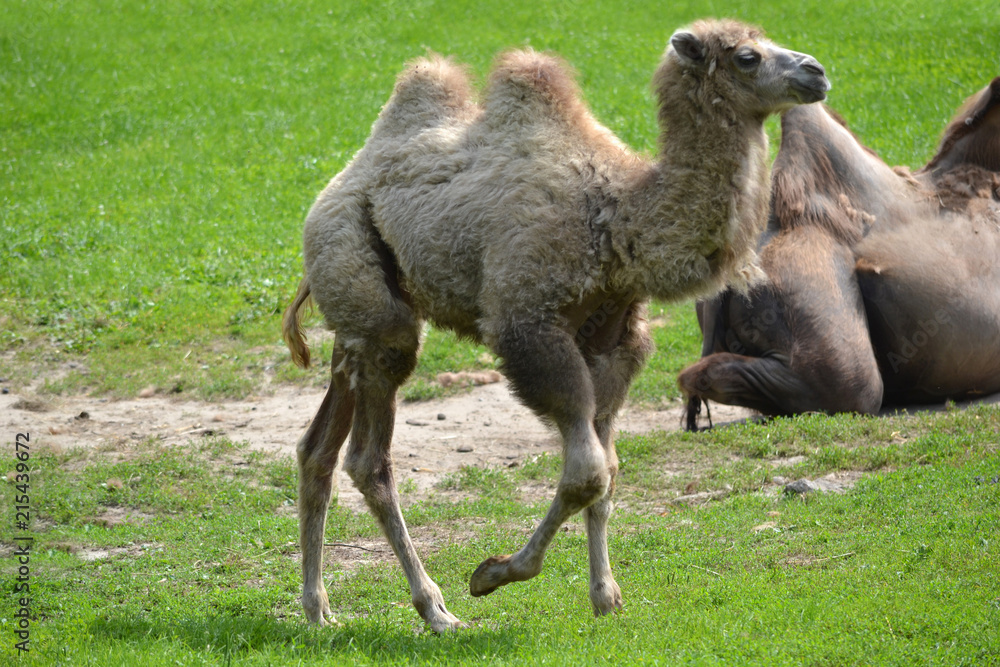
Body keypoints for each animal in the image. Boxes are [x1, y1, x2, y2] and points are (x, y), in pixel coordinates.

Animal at [284, 20, 828, 636]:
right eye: (746, 56)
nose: (815, 71)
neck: (617, 220)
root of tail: (338, 184)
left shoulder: (616, 342)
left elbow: (607, 470)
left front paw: (606, 597)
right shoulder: (529, 327)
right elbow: (586, 471)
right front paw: (492, 574)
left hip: (358, 319)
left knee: (318, 448)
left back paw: (318, 608)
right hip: (369, 294)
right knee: (368, 459)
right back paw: (436, 610)